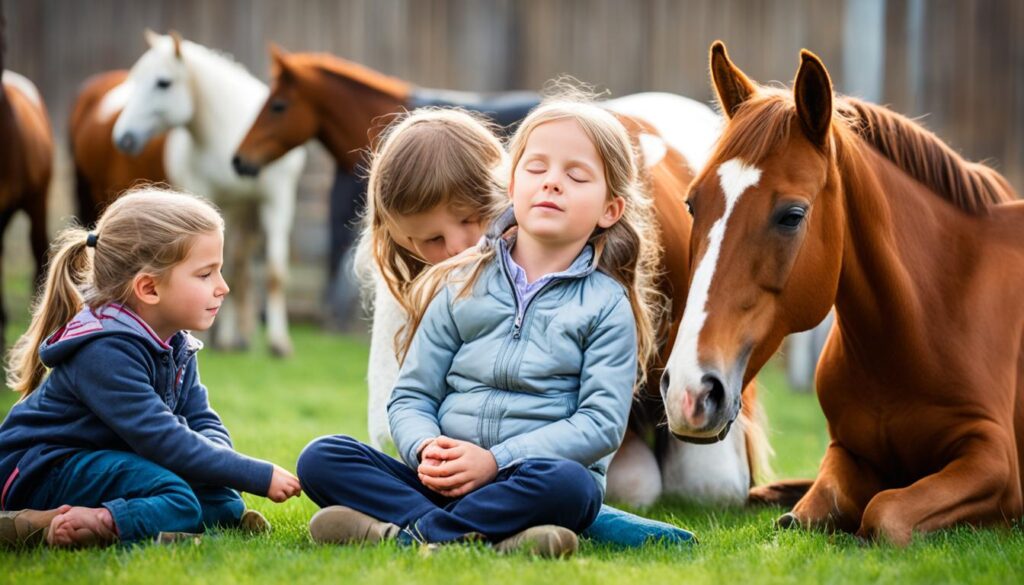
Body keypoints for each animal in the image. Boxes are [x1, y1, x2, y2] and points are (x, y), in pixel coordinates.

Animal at [112, 32, 305, 356]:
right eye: (135, 80)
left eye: (163, 83)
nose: (123, 138)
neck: (225, 134)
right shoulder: (211, 203)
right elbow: (222, 268)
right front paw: (216, 336)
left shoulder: (276, 201)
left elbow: (274, 273)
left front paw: (279, 342)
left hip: (249, 214)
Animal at [663, 41, 1024, 545]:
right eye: (693, 203)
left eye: (792, 215)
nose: (690, 392)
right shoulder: (843, 453)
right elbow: (801, 516)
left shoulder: (995, 465)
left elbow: (885, 512)